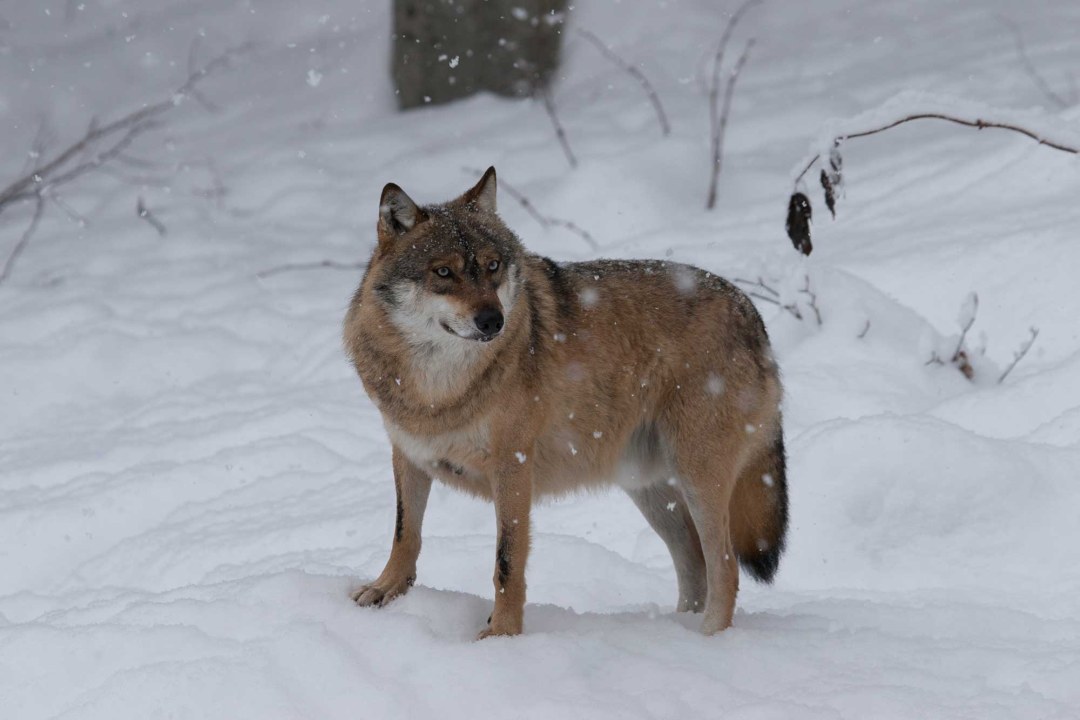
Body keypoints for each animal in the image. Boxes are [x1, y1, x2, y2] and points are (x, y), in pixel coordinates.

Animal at [343, 168, 788, 638]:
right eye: (444, 272)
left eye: (493, 266)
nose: (493, 321)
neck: (436, 388)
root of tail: (751, 313)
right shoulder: (407, 454)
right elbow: (404, 534)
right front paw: (384, 590)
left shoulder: (513, 467)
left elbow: (506, 563)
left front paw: (501, 635)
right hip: (649, 489)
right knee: (696, 565)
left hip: (697, 478)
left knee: (725, 567)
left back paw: (706, 640)